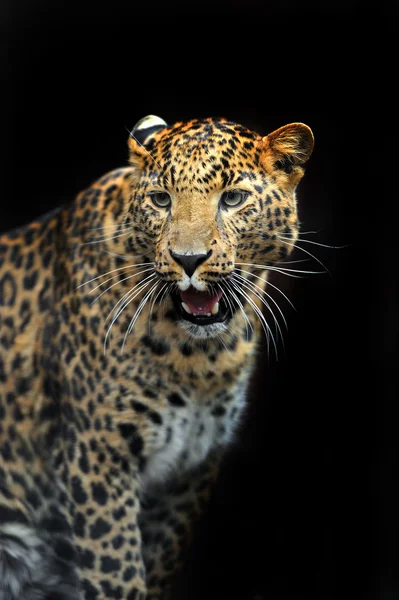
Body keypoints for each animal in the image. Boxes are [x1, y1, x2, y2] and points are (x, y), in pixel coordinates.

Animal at [0, 115, 314, 596]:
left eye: (233, 198)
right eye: (161, 199)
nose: (189, 260)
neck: (200, 358)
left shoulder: (189, 471)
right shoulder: (97, 458)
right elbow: (119, 571)